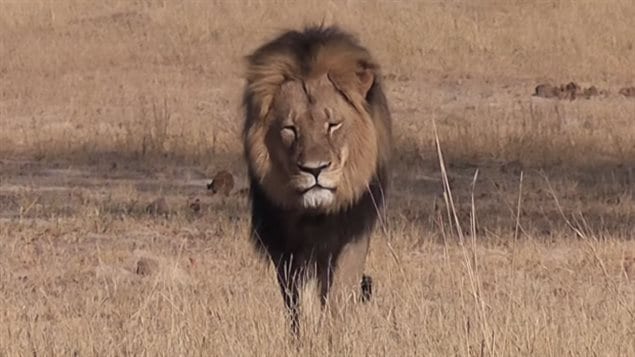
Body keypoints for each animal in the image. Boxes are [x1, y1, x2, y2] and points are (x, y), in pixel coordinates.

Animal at [242, 25, 392, 334]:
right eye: (290, 129)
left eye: (332, 125)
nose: (314, 170)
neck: (315, 217)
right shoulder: (287, 246)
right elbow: (300, 301)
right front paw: (307, 334)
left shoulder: (351, 234)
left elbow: (339, 296)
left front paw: (335, 332)